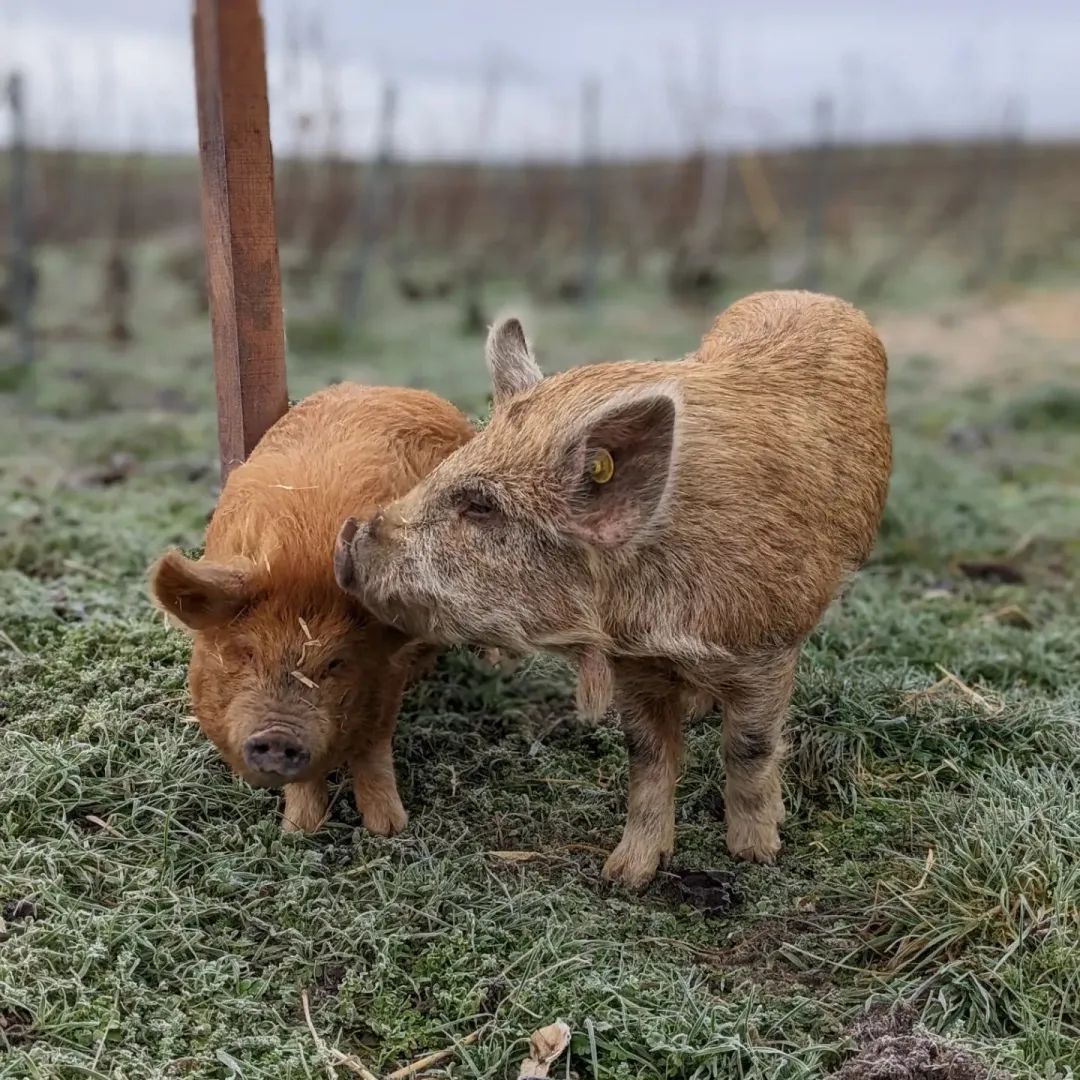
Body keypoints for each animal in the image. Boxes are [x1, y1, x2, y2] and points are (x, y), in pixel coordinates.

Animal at [149, 384, 473, 829]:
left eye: (336, 663)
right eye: (246, 653)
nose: (277, 735)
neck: (302, 558)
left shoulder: (385, 681)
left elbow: (373, 748)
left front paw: (389, 829)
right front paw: (299, 831)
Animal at [332, 293, 889, 885]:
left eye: (481, 506)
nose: (348, 535)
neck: (656, 618)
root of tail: (815, 296)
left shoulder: (768, 646)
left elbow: (749, 747)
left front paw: (756, 854)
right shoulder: (634, 663)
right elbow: (647, 757)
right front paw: (624, 875)